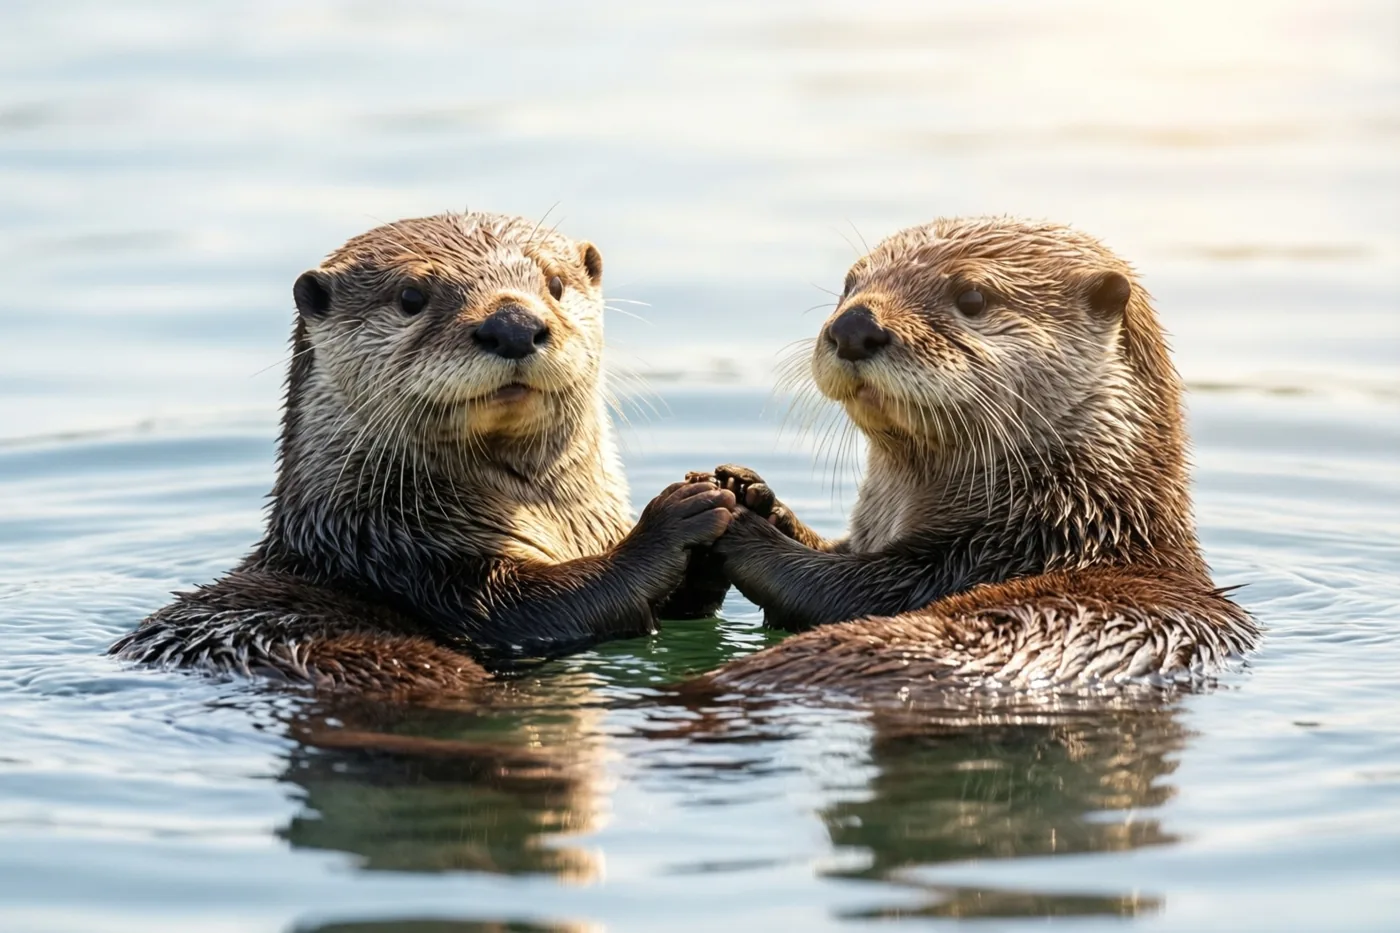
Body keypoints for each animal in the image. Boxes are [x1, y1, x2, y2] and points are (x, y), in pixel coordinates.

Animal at [111, 211, 734, 693]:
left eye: (555, 284)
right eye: (412, 296)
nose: (513, 324)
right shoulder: (419, 569)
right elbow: (543, 603)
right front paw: (677, 516)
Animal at [694, 217, 1257, 693]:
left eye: (972, 295)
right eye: (849, 283)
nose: (854, 325)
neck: (1075, 524)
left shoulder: (964, 564)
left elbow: (845, 588)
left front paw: (745, 527)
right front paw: (751, 492)